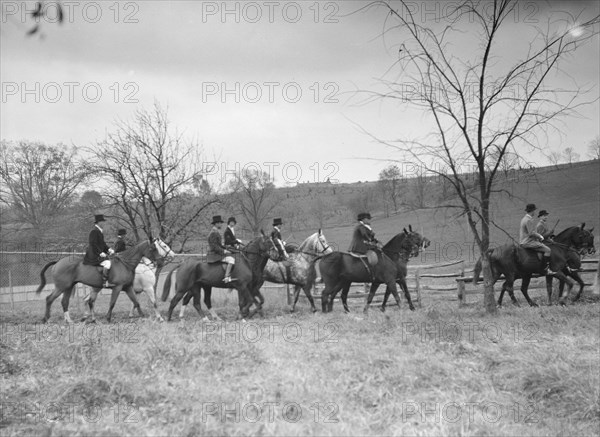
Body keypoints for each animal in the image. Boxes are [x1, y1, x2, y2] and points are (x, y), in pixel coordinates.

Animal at [36, 237, 173, 322]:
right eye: (161, 246)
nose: (161, 262)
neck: (126, 264)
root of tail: (58, 262)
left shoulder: (129, 288)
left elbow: (136, 302)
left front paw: (141, 316)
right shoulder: (127, 287)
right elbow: (113, 303)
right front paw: (108, 318)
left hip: (70, 287)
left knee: (69, 302)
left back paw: (73, 320)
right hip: (62, 286)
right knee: (50, 299)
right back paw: (46, 318)